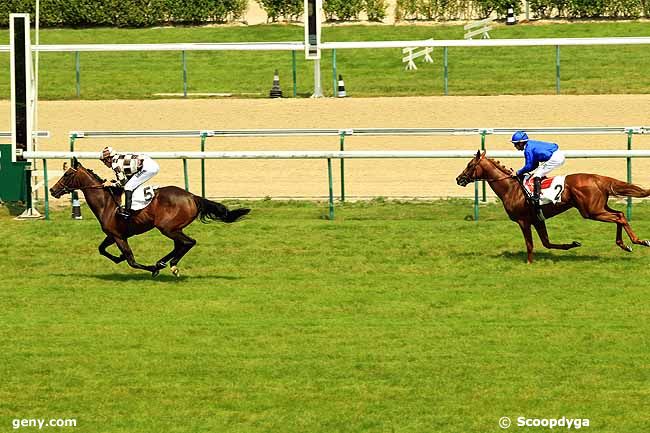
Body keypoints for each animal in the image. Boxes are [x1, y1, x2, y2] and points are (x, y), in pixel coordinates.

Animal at [48, 159, 249, 276]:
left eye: (67, 174)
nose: (52, 190)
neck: (106, 202)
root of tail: (192, 197)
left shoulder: (119, 236)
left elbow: (131, 260)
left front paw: (151, 268)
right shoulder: (113, 234)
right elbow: (101, 249)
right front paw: (119, 258)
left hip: (166, 227)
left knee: (189, 242)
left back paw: (168, 265)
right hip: (174, 228)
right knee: (180, 244)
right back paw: (163, 262)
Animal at [456, 150, 648, 262]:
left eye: (470, 165)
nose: (459, 179)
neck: (511, 188)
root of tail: (598, 178)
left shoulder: (523, 221)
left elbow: (530, 244)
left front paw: (529, 262)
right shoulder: (538, 219)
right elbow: (547, 243)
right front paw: (573, 244)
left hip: (591, 211)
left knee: (619, 217)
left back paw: (638, 241)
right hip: (599, 208)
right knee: (620, 214)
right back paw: (626, 245)